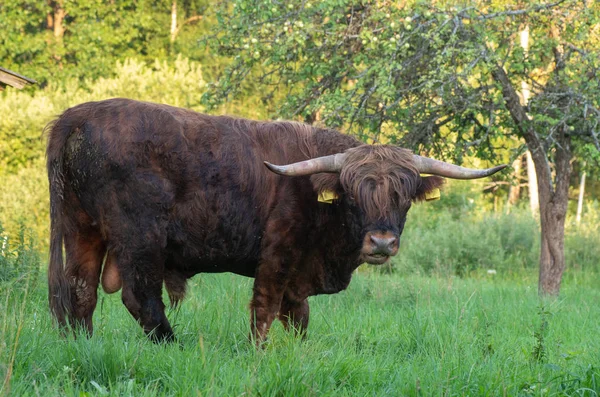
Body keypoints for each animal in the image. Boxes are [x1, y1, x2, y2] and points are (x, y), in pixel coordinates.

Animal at [45, 97, 506, 342]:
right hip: (140, 237)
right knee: (141, 298)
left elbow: (298, 316)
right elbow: (264, 310)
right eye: (354, 196)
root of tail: (81, 114)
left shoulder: (300, 273)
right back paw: (174, 346)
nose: (381, 243)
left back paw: (82, 344)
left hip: (83, 230)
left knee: (80, 291)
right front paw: (259, 352)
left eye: (404, 197)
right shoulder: (278, 254)